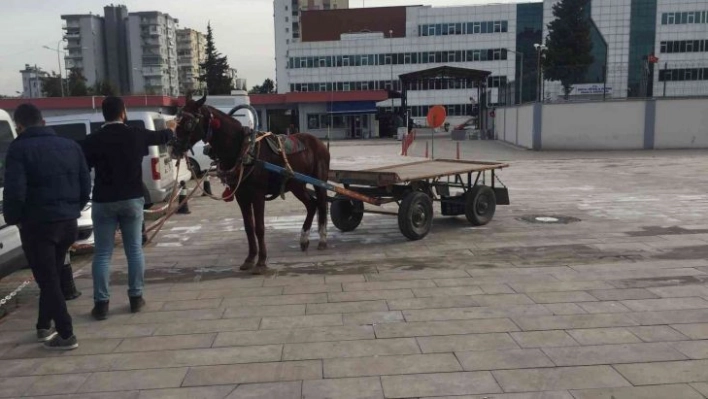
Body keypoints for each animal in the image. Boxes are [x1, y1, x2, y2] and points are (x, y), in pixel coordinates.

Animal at [171, 94, 330, 276]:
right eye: (176, 120)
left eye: (189, 122)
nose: (173, 148)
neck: (243, 150)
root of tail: (319, 142)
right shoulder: (242, 196)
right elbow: (248, 227)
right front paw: (249, 259)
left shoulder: (258, 195)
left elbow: (259, 227)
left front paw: (261, 261)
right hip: (296, 184)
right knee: (312, 205)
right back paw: (304, 239)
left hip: (319, 181)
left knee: (322, 205)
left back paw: (322, 239)